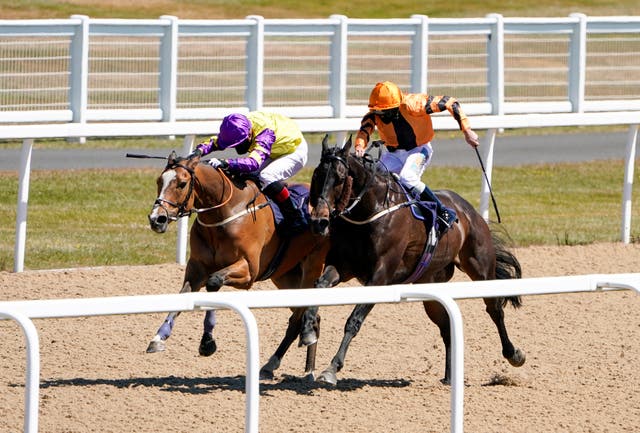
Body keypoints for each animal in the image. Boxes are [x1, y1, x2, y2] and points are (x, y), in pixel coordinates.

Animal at [146, 151, 330, 378]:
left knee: (298, 319)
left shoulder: (248, 270)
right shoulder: (197, 267)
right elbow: (184, 296)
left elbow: (214, 282)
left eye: (182, 183)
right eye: (159, 181)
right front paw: (158, 337)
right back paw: (303, 367)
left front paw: (207, 342)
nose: (157, 219)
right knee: (312, 316)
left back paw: (284, 365)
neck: (225, 212)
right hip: (285, 276)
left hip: (312, 267)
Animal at [308, 136, 524, 384]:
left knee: (495, 310)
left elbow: (354, 320)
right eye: (316, 175)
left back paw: (513, 354)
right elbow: (319, 286)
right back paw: (449, 376)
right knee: (446, 327)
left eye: (340, 178)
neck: (370, 210)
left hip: (481, 268)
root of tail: (470, 211)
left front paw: (332, 368)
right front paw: (308, 330)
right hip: (430, 284)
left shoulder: (380, 277)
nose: (319, 221)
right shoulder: (343, 266)